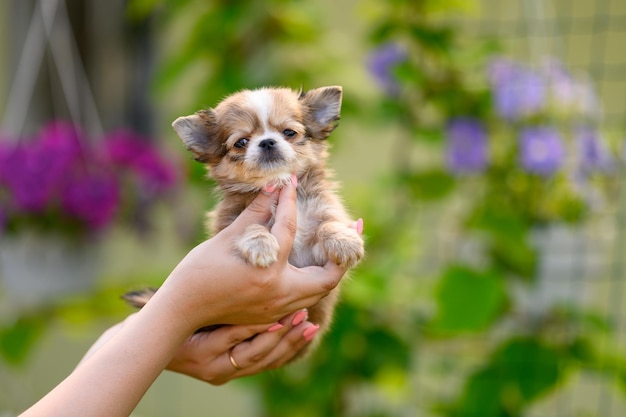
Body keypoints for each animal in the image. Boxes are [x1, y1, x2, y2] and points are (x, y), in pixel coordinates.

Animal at [124, 86, 364, 352]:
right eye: (241, 142)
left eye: (289, 132)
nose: (267, 141)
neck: (278, 184)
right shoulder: (232, 220)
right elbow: (252, 225)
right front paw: (260, 244)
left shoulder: (315, 245)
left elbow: (327, 224)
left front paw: (344, 240)